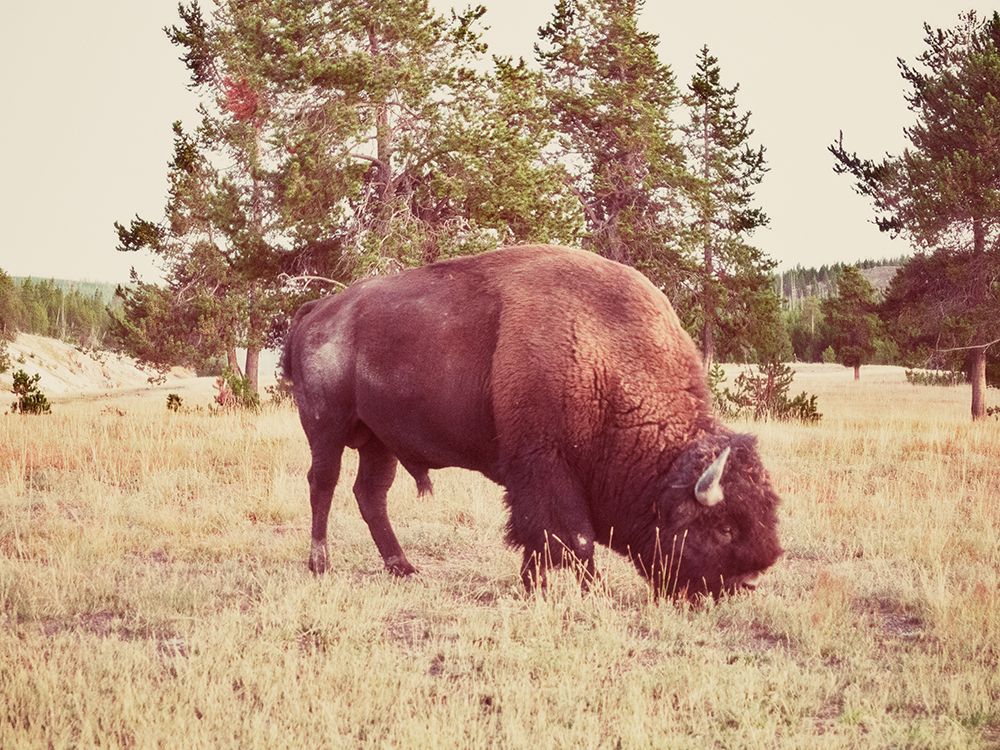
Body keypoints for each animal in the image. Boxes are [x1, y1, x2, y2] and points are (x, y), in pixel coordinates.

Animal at [280, 247, 780, 600]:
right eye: (723, 527)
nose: (749, 581)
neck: (606, 359)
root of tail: (319, 309)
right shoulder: (545, 468)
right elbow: (574, 537)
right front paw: (593, 592)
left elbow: (538, 539)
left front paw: (532, 584)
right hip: (326, 427)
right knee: (323, 484)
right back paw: (320, 563)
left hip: (379, 440)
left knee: (371, 494)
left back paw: (403, 566)